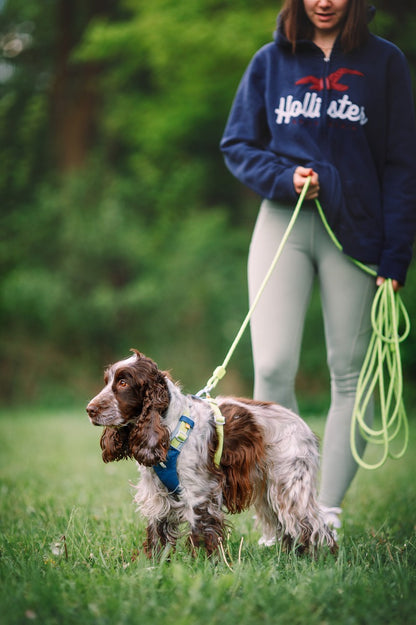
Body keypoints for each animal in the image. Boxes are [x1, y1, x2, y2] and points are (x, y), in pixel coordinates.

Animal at [86, 348, 336, 560]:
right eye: (107, 382)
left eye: (123, 382)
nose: (90, 409)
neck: (171, 427)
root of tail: (305, 427)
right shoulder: (158, 494)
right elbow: (157, 533)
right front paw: (153, 563)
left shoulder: (200, 491)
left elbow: (202, 530)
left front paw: (205, 563)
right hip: (269, 491)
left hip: (290, 487)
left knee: (315, 525)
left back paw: (318, 560)